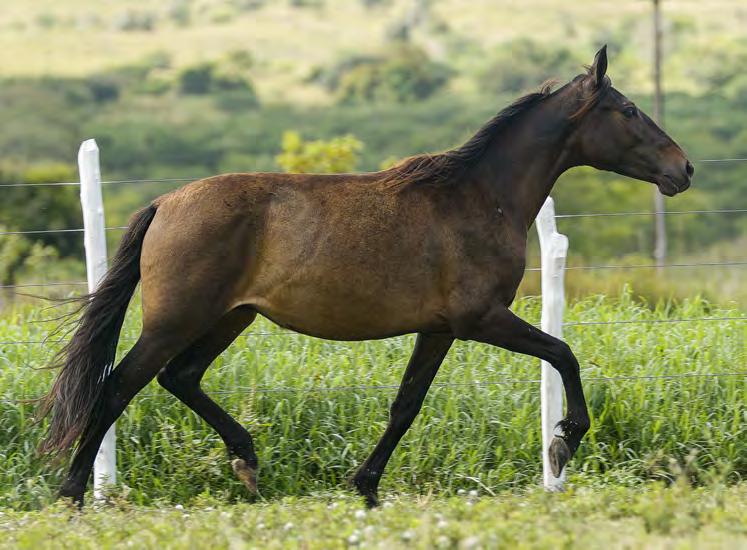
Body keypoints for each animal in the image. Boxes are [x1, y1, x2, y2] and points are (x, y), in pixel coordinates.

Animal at [41, 47, 696, 508]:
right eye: (629, 110)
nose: (683, 168)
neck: (480, 198)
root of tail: (164, 204)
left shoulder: (439, 329)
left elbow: (406, 404)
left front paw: (367, 485)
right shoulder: (481, 318)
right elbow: (564, 354)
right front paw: (563, 444)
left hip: (231, 317)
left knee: (179, 378)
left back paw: (247, 461)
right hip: (177, 320)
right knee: (118, 385)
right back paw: (73, 493)